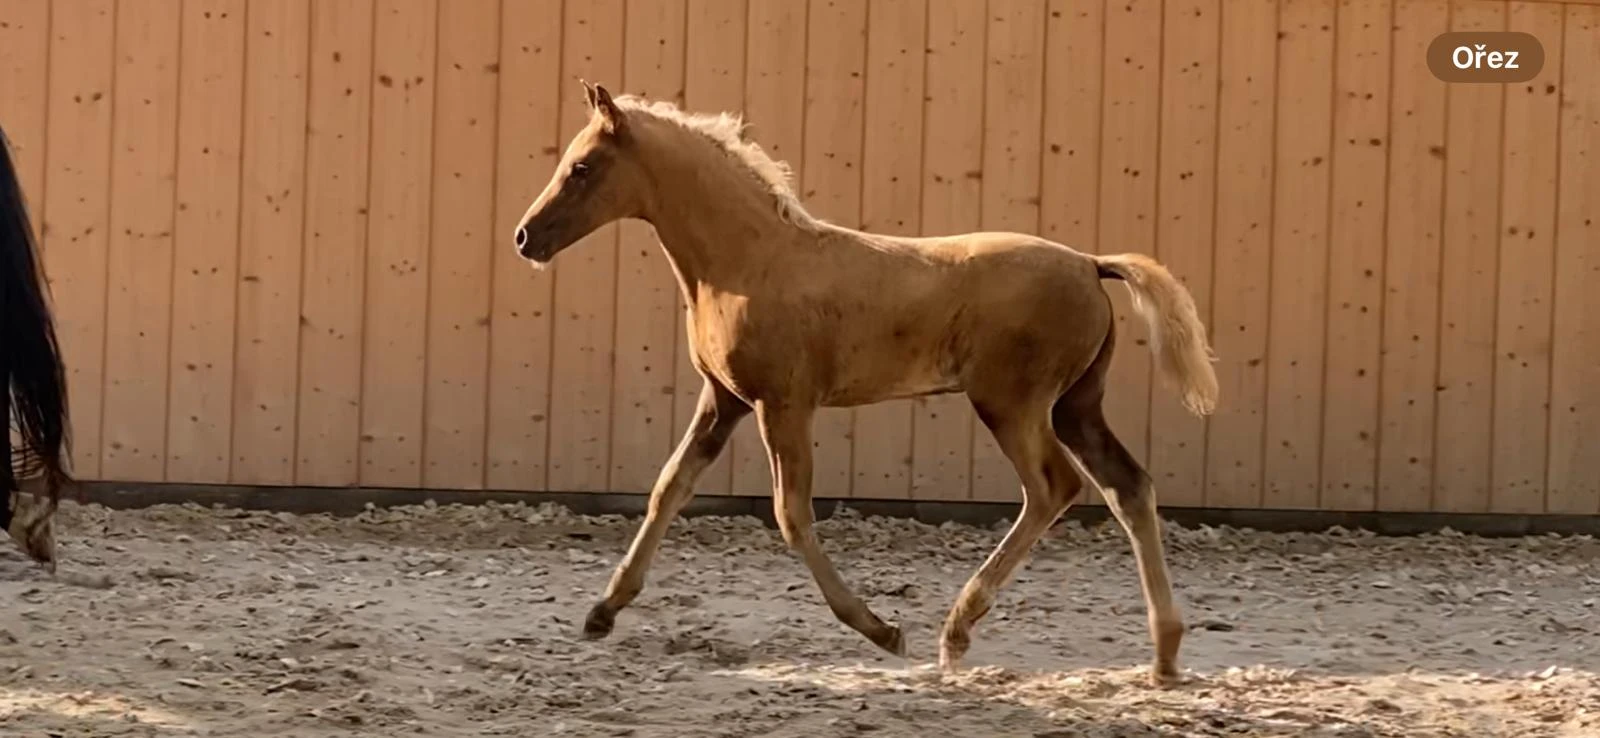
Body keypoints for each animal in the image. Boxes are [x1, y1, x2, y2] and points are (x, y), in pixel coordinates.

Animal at [512, 82, 1219, 687]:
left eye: (582, 167)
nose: (525, 238)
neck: (749, 261)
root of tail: (1090, 264)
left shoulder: (783, 404)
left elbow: (791, 515)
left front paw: (881, 631)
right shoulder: (725, 400)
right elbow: (669, 489)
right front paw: (602, 612)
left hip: (1013, 404)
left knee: (1053, 488)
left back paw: (956, 632)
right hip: (1076, 405)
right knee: (1129, 487)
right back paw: (1164, 656)